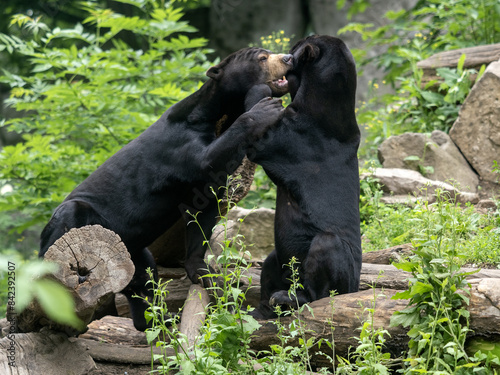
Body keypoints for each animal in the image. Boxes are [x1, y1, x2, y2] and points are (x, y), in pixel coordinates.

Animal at [40, 47, 292, 332]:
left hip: (133, 252)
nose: (288, 58)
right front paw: (266, 107)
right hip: (79, 223)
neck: (218, 115)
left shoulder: (205, 186)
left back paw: (159, 319)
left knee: (144, 282)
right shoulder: (180, 143)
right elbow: (207, 159)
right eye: (262, 58)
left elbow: (202, 217)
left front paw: (203, 274)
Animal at [249, 35, 360, 318]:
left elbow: (257, 133)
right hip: (277, 256)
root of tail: (355, 288)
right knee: (269, 267)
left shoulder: (286, 137)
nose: (286, 57)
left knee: (319, 289)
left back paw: (289, 298)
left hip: (329, 251)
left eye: (293, 50)